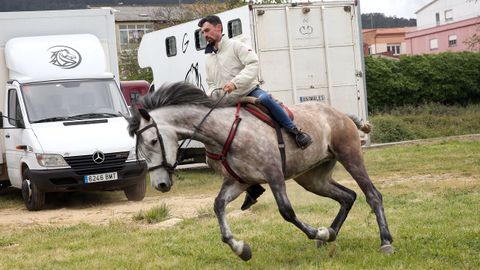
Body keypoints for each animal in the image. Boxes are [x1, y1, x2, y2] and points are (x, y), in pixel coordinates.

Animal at [127, 81, 394, 260]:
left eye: (153, 141)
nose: (160, 185)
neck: (223, 131)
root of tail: (340, 113)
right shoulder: (238, 181)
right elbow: (218, 206)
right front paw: (240, 248)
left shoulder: (274, 175)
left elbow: (287, 212)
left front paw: (316, 232)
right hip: (312, 178)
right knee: (348, 196)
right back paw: (330, 234)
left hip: (350, 157)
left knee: (372, 195)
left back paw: (385, 242)